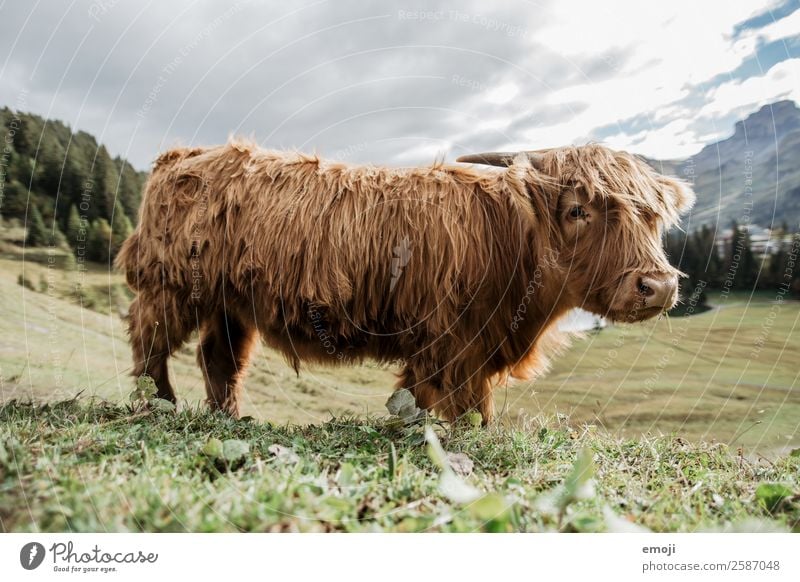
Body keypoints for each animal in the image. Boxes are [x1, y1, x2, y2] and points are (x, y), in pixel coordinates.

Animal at [117, 141, 692, 424]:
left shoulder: (447, 347)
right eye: (577, 210)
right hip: (173, 286)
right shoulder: (456, 345)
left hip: (231, 302)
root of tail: (185, 154)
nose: (657, 286)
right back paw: (159, 406)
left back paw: (231, 420)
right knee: (150, 342)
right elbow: (468, 410)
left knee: (219, 358)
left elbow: (423, 397)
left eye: (653, 216)